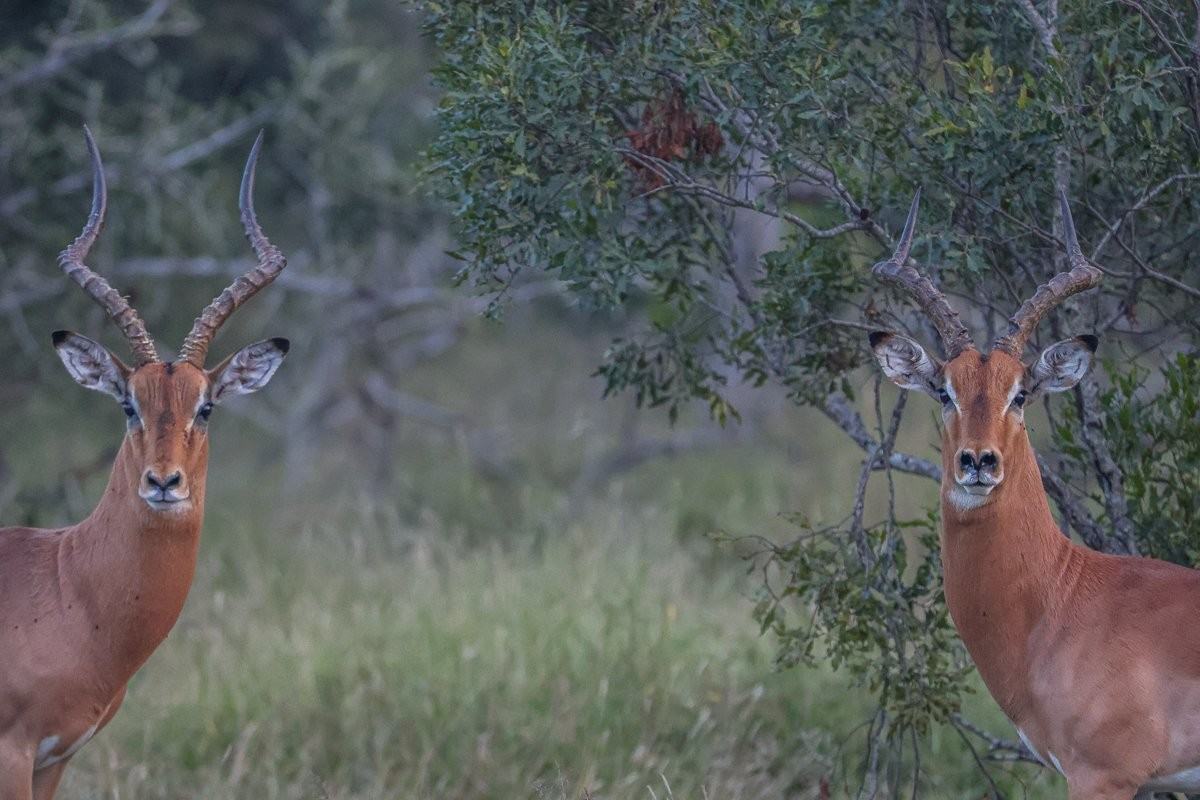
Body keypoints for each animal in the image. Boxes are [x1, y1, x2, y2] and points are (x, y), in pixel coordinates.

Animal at [0, 128, 289, 798]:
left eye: (206, 406)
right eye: (128, 404)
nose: (163, 481)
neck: (66, 587)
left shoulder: (54, 759)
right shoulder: (12, 751)